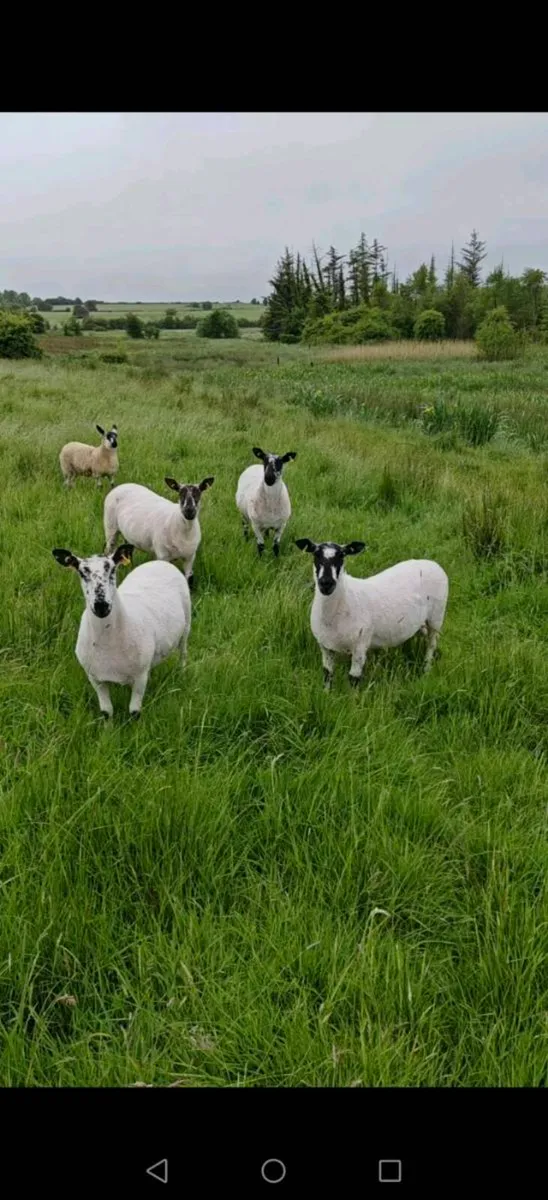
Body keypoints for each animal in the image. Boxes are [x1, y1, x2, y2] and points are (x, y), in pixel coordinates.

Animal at [52, 543, 191, 718]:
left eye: (112, 570)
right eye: (82, 573)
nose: (101, 606)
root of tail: (159, 563)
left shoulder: (139, 678)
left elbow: (134, 712)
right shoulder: (95, 679)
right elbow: (106, 711)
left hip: (187, 624)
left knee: (183, 652)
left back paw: (183, 672)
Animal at [295, 538, 448, 690]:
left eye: (342, 555)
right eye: (315, 554)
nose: (326, 583)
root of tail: (432, 563)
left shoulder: (360, 646)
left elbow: (354, 679)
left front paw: (352, 698)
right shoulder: (325, 647)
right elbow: (327, 675)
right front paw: (326, 694)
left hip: (437, 616)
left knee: (431, 644)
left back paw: (426, 670)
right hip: (419, 622)